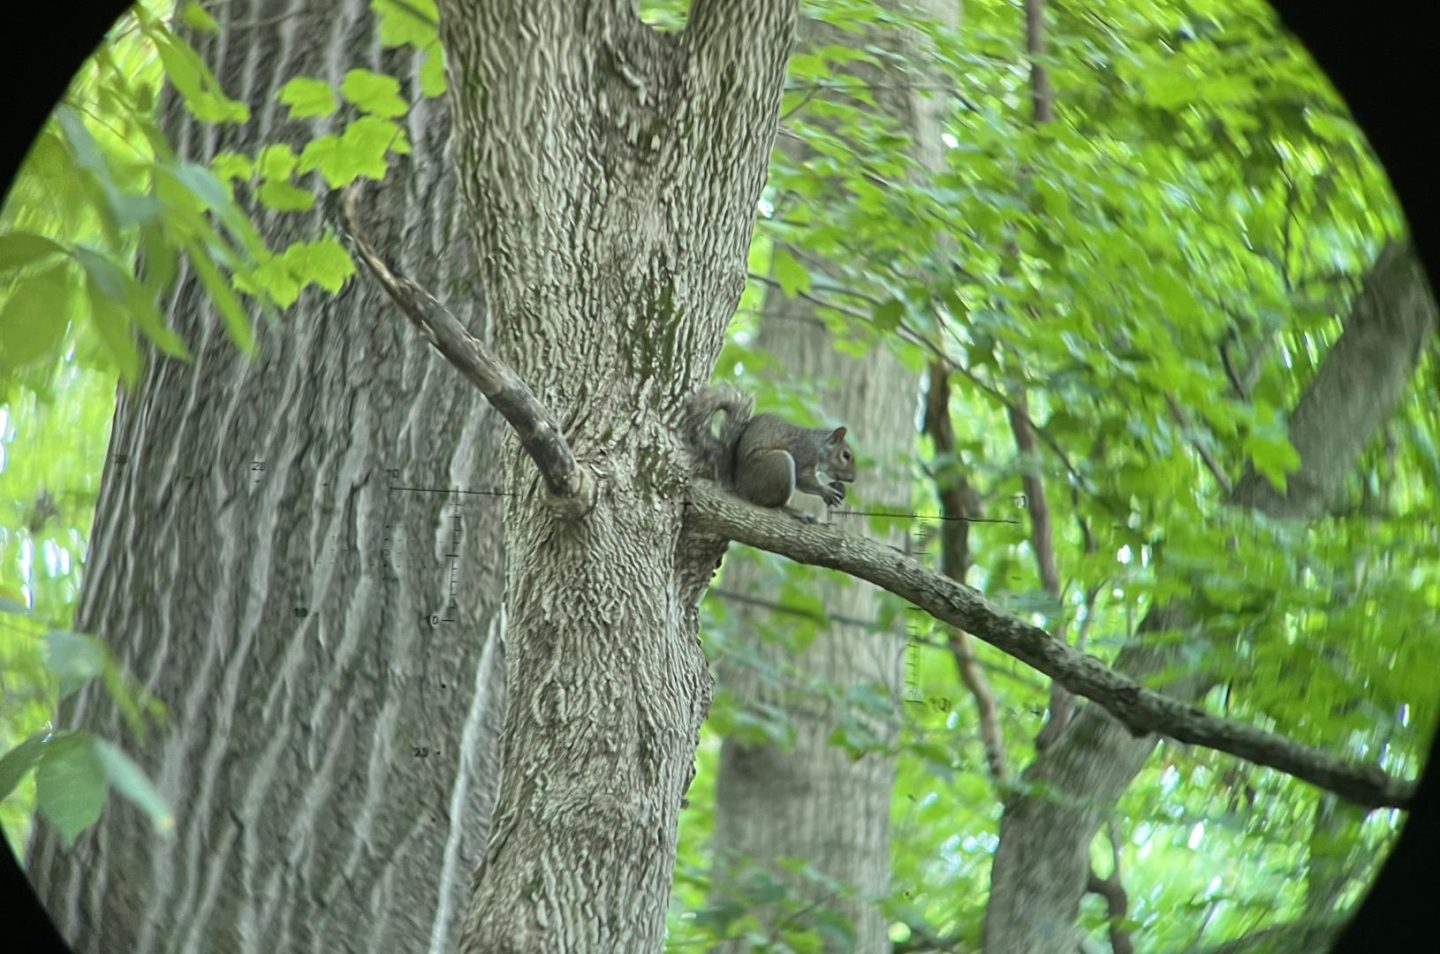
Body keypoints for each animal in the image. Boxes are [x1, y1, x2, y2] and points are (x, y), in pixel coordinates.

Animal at [682, 386, 852, 518]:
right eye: (846, 455)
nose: (852, 479)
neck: (819, 447)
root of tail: (738, 485)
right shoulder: (805, 455)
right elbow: (804, 479)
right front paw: (826, 491)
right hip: (779, 465)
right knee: (774, 504)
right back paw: (793, 511)